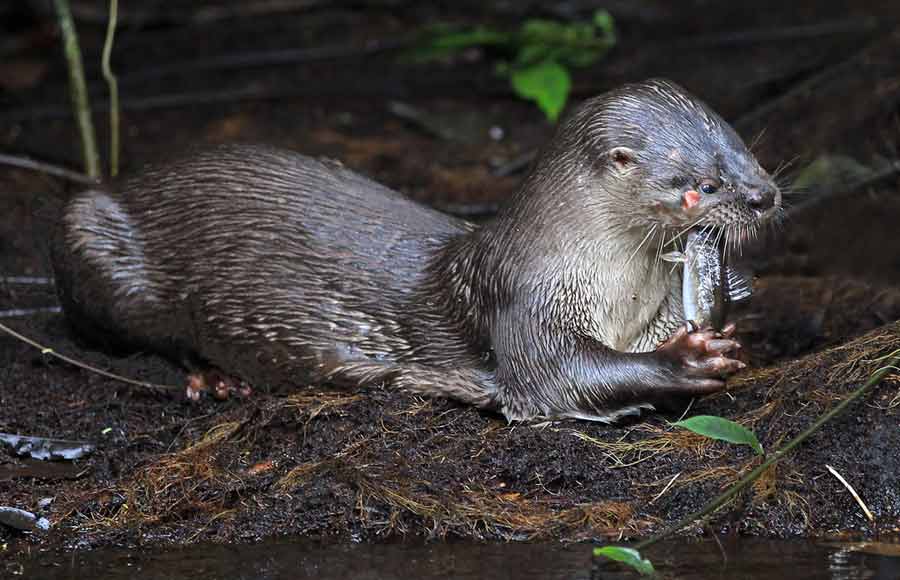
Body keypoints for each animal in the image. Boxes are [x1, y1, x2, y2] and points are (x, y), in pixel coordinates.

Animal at [49, 78, 780, 422]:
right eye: (702, 184)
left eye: (747, 152)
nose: (764, 196)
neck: (610, 287)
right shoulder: (526, 303)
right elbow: (555, 379)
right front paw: (685, 360)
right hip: (92, 239)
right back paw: (213, 378)